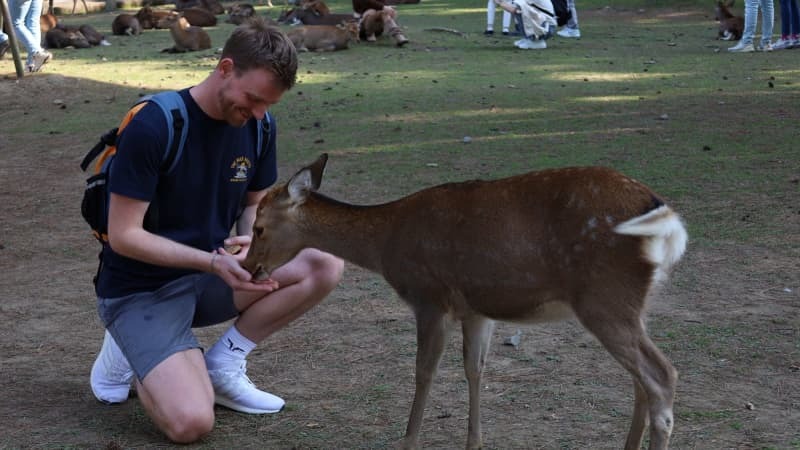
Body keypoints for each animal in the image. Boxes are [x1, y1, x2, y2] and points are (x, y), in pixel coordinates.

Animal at [242, 154, 688, 450]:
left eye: (259, 228)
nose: (248, 268)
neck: (386, 243)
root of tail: (665, 217)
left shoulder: (430, 297)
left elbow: (424, 372)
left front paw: (408, 441)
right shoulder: (476, 308)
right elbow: (475, 369)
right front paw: (475, 442)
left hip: (605, 297)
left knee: (661, 375)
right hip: (633, 304)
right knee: (641, 381)